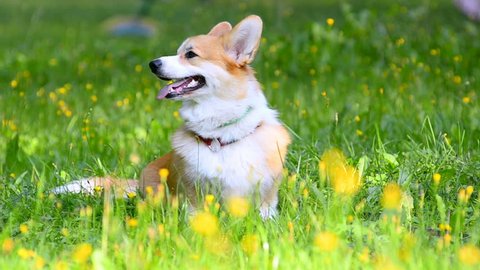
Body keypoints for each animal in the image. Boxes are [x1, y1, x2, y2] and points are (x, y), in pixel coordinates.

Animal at [54, 14, 290, 218]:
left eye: (190, 54)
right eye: (178, 51)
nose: (152, 64)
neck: (220, 137)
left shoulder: (266, 193)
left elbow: (265, 212)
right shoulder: (194, 191)